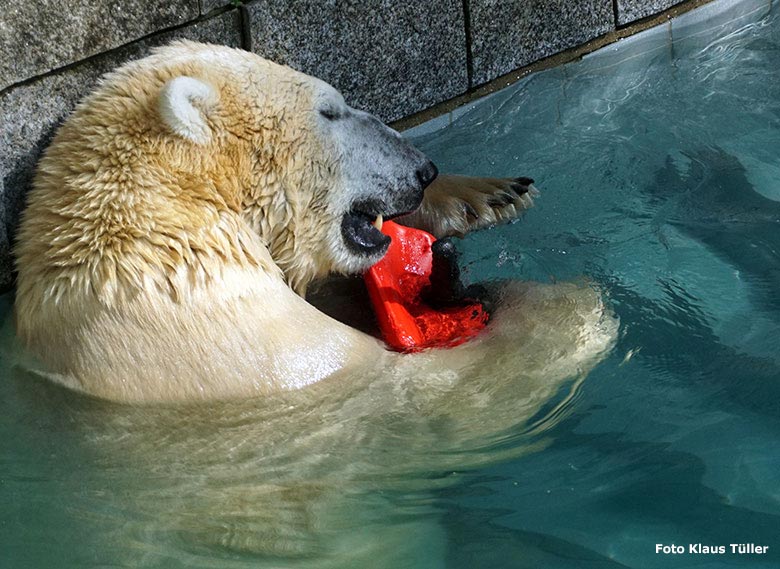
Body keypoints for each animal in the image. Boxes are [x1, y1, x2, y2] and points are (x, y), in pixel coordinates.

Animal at [12, 41, 616, 404]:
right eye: (330, 109)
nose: (424, 168)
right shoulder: (224, 335)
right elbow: (413, 389)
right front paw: (563, 311)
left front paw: (489, 197)